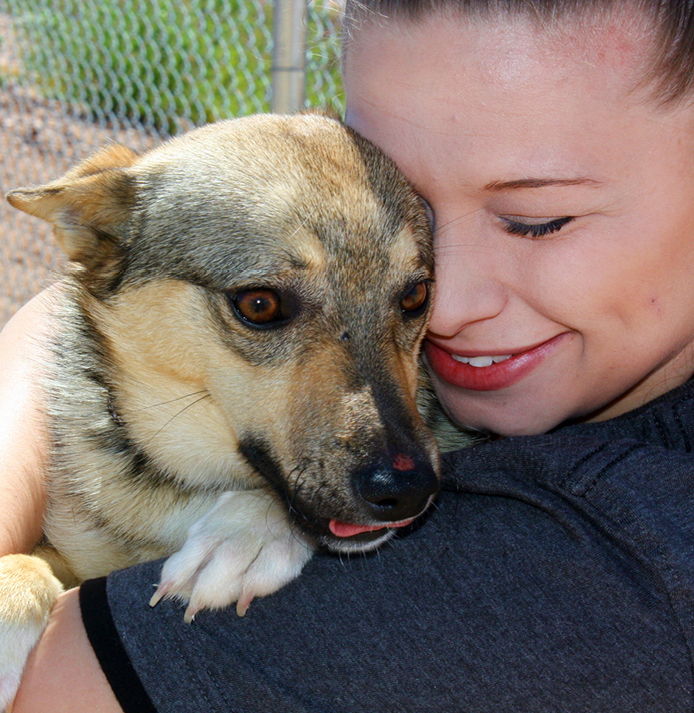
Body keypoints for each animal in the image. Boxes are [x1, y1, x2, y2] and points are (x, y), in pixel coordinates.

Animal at [0, 111, 470, 708]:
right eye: (260, 304)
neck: (186, 483)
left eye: (415, 296)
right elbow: (25, 560)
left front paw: (246, 534)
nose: (409, 490)